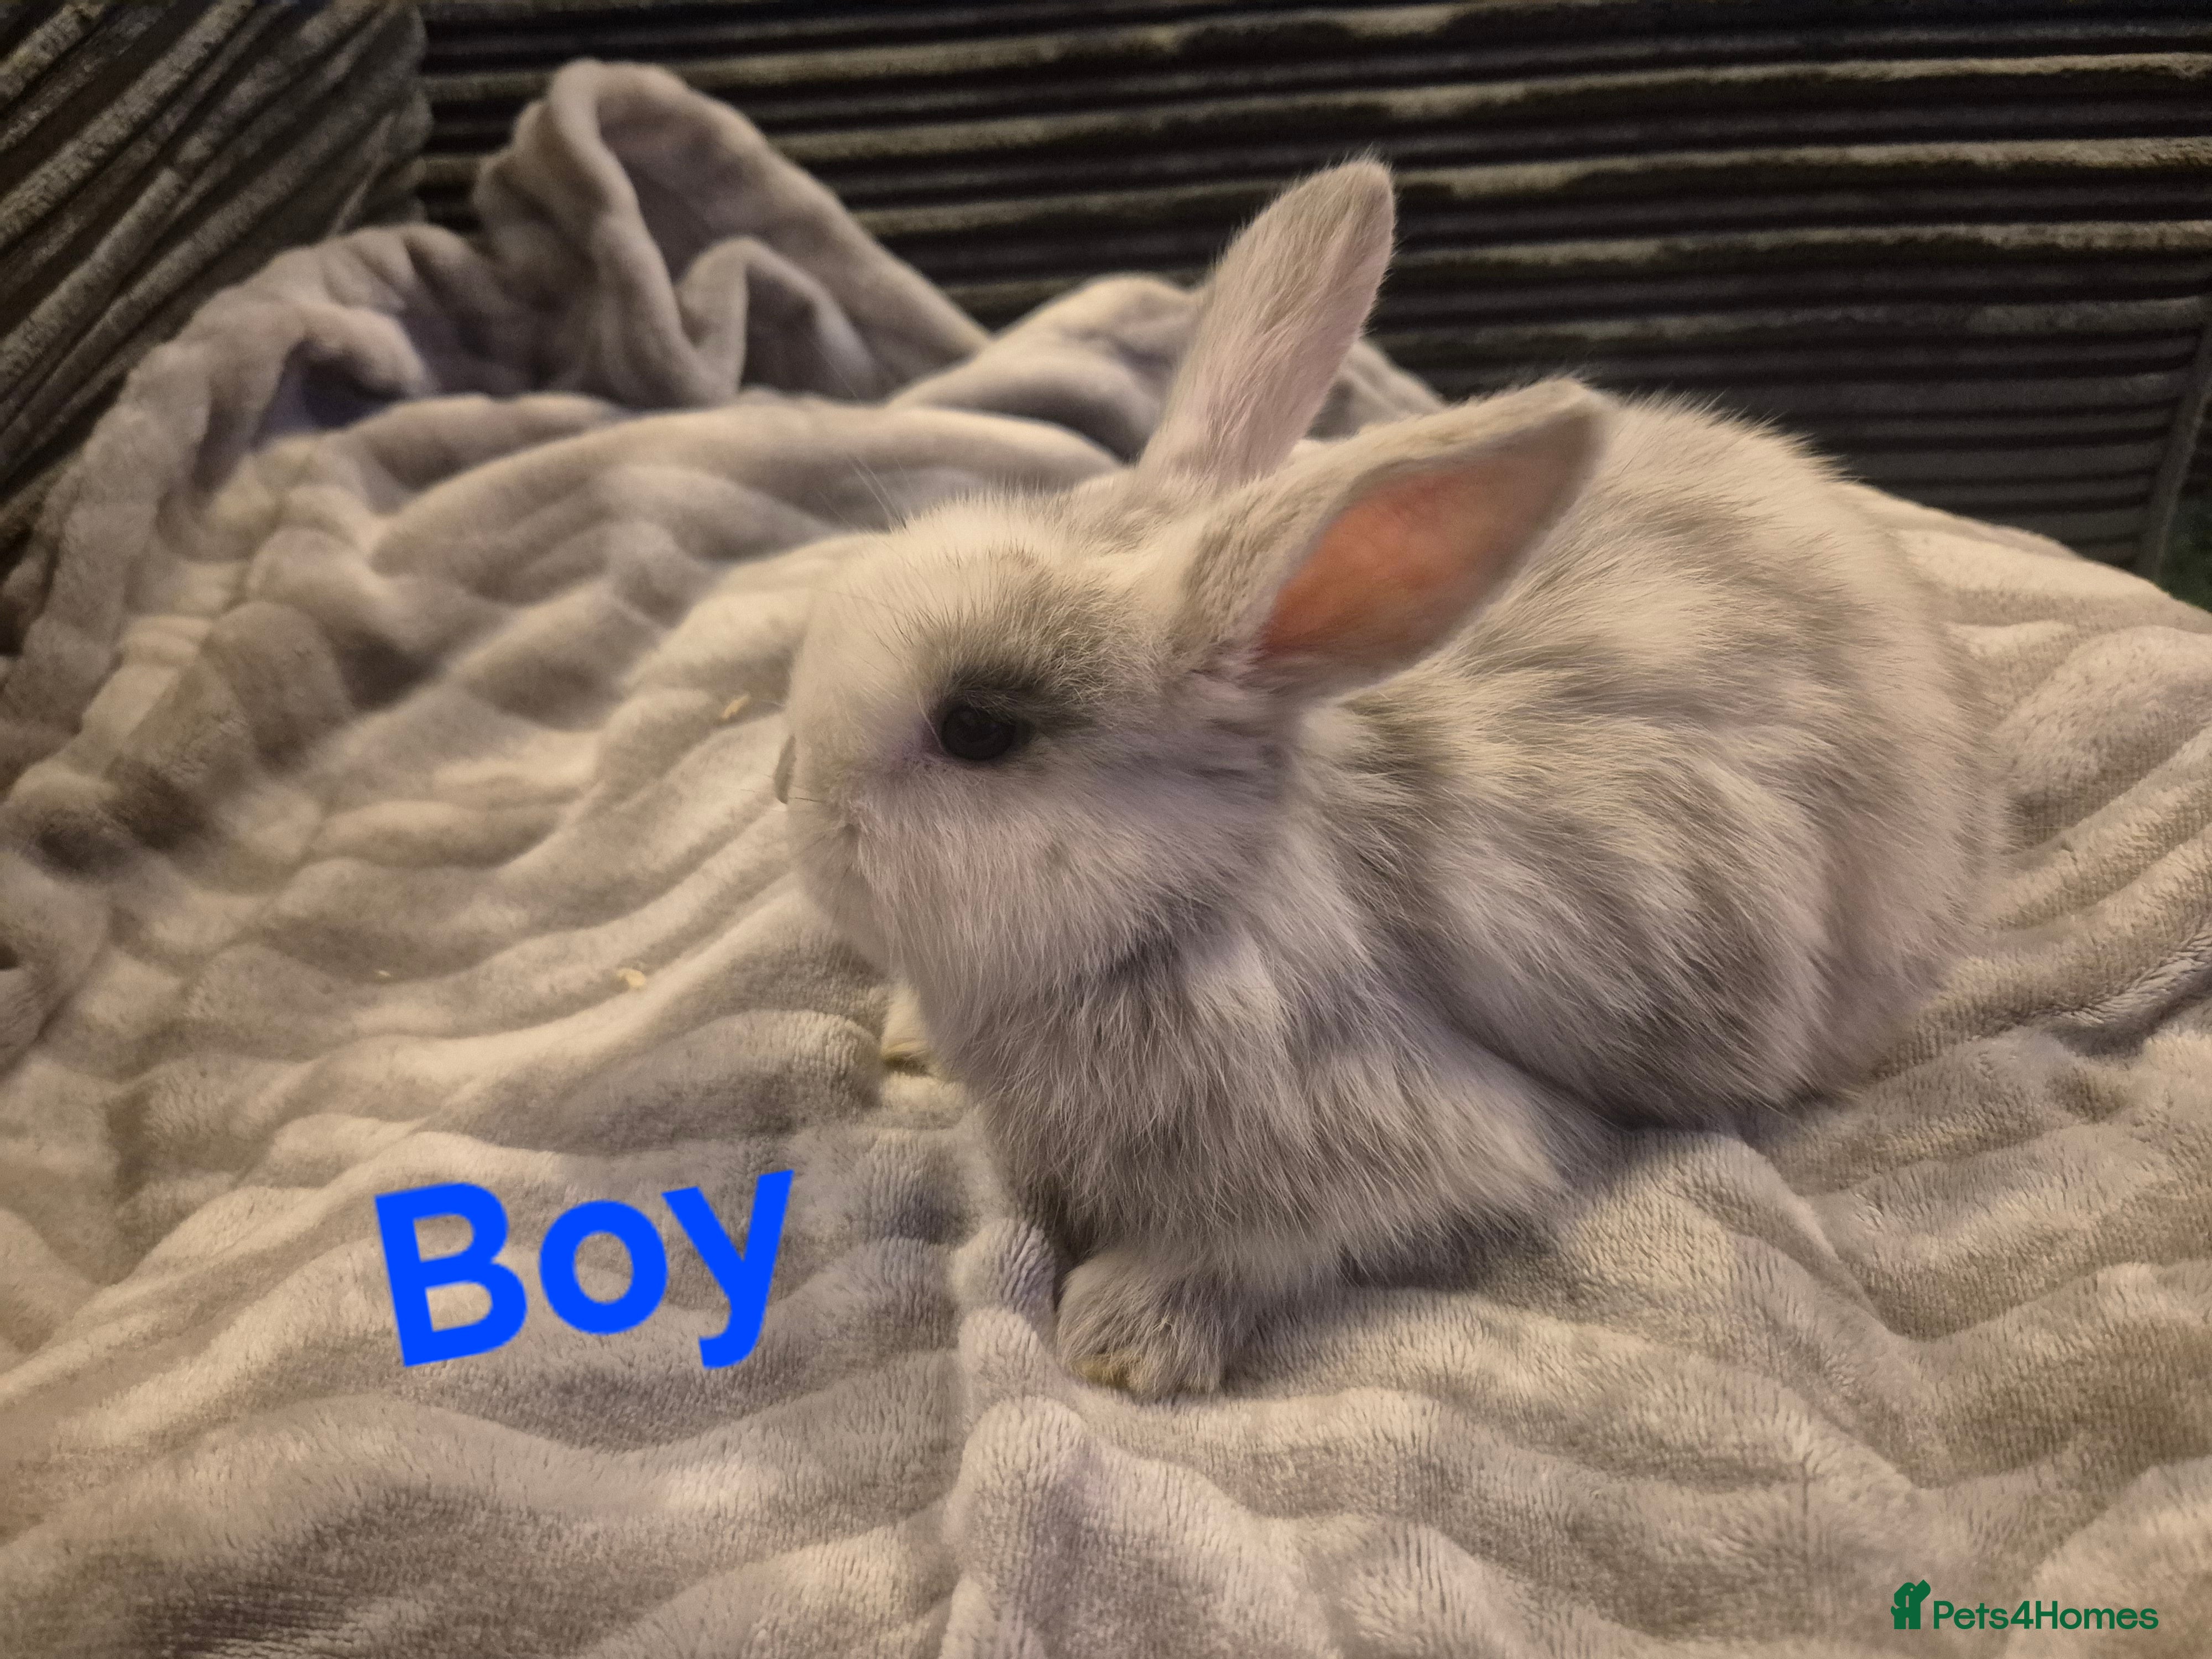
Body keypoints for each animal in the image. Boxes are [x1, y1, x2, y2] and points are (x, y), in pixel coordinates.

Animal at [775, 160, 1993, 1399]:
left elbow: (1254, 1246)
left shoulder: (1407, 1143)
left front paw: (1120, 1343)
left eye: (977, 727)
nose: (789, 790)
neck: (1183, 906)